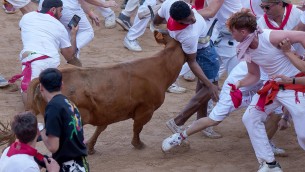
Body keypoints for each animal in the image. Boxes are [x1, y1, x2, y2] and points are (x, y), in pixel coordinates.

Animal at [26, 31, 185, 155]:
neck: (160, 68)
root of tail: (42, 79)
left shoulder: (107, 111)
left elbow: (101, 128)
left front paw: (90, 147)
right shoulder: (146, 110)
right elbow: (137, 128)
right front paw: (138, 144)